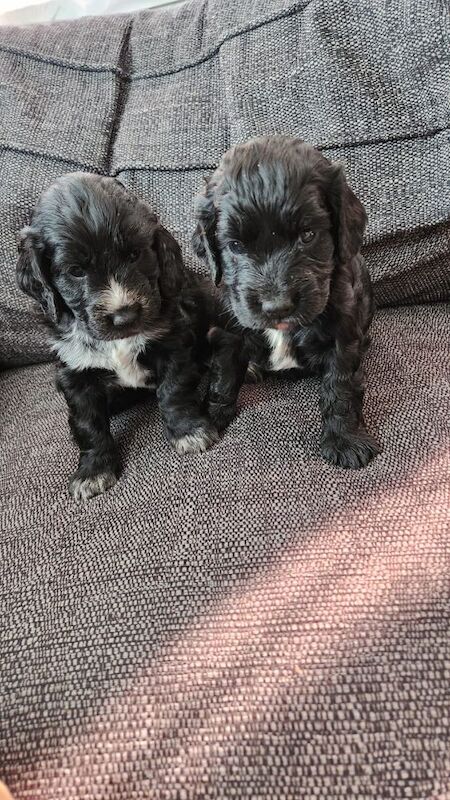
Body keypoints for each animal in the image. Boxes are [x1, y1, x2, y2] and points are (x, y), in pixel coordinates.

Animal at [17, 173, 220, 500]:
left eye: (135, 255)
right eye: (75, 271)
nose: (124, 316)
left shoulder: (173, 342)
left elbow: (174, 390)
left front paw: (190, 431)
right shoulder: (75, 372)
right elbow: (87, 422)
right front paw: (93, 471)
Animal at [192, 134, 380, 466]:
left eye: (308, 235)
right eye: (236, 246)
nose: (276, 306)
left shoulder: (343, 335)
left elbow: (341, 386)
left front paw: (345, 440)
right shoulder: (230, 330)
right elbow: (223, 378)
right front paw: (209, 420)